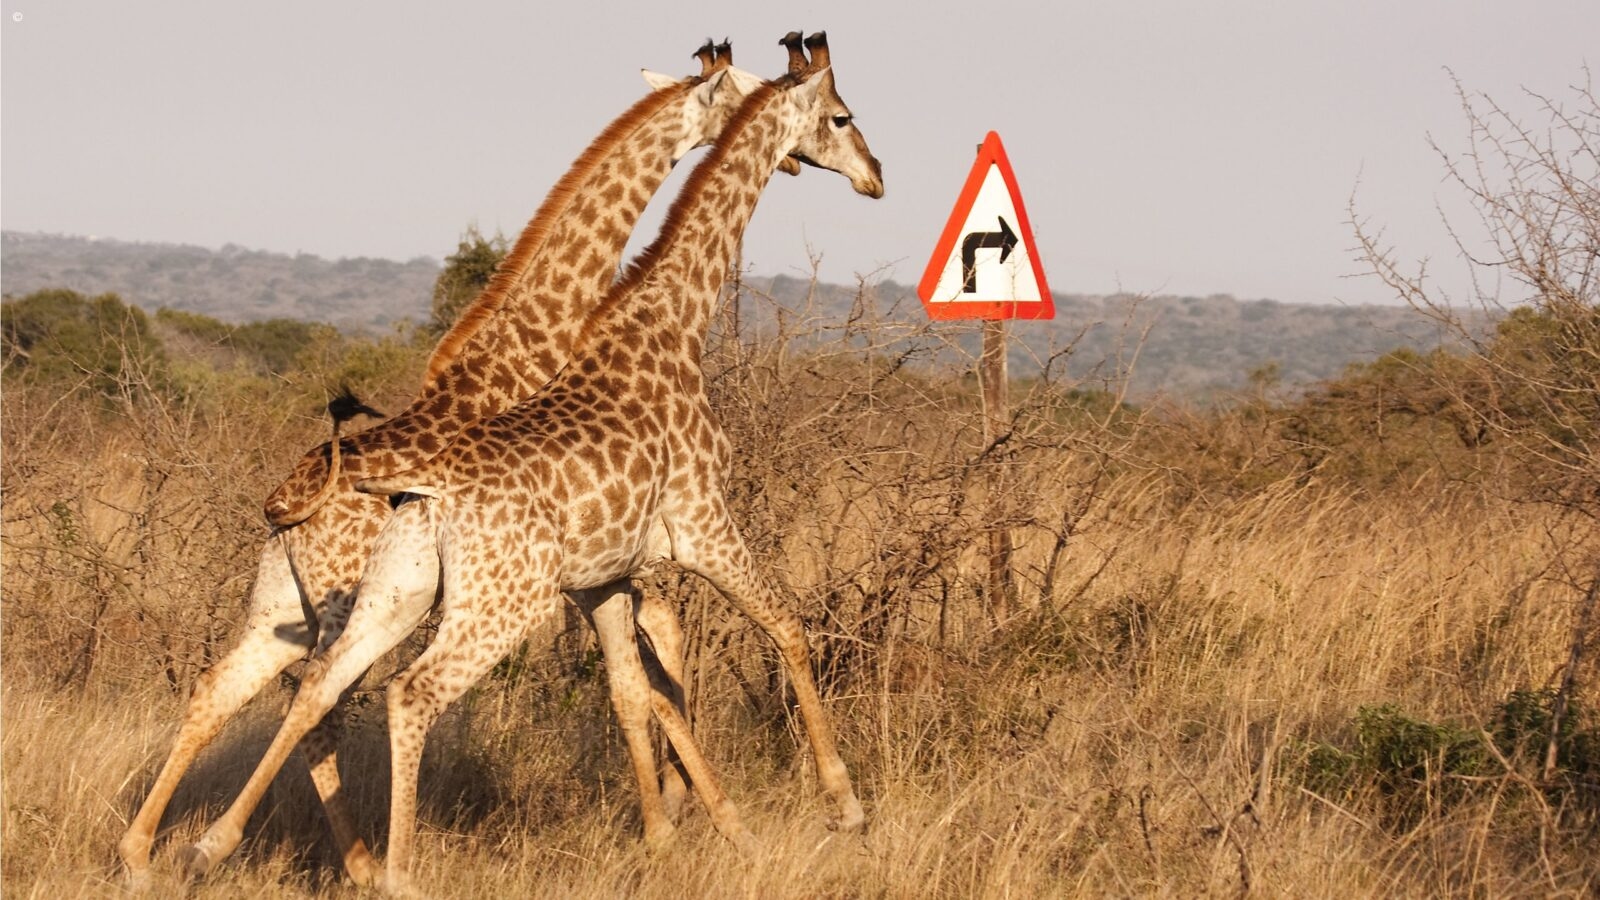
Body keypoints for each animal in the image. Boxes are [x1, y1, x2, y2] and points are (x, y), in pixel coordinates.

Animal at [181, 32, 882, 893]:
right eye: (841, 116)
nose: (875, 175)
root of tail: (289, 501)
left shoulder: (608, 570)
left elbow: (638, 687)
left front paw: (682, 828)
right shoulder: (693, 527)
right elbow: (769, 632)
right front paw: (822, 809)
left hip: (342, 602)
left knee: (267, 690)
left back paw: (184, 849)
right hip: (458, 605)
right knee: (384, 697)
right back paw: (381, 870)